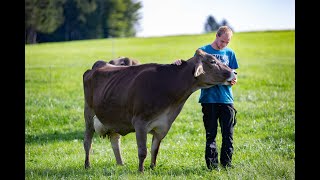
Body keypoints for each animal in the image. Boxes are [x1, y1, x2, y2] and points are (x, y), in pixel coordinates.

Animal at [84, 48, 236, 172]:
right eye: (212, 61)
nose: (233, 73)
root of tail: (99, 64)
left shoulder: (163, 125)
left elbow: (154, 149)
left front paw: (153, 167)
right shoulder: (140, 122)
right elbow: (142, 151)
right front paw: (141, 171)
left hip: (113, 119)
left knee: (115, 140)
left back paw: (121, 164)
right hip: (89, 114)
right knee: (87, 142)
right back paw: (87, 165)